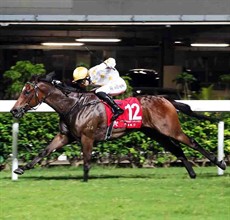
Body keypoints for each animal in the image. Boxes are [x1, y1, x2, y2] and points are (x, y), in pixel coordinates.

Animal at [9, 75, 226, 181]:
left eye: (26, 92)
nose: (14, 110)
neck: (73, 105)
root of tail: (166, 99)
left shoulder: (87, 137)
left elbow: (86, 160)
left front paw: (85, 180)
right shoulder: (64, 136)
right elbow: (44, 151)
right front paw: (20, 169)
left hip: (170, 129)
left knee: (192, 143)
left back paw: (220, 164)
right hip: (156, 133)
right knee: (177, 149)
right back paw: (192, 174)